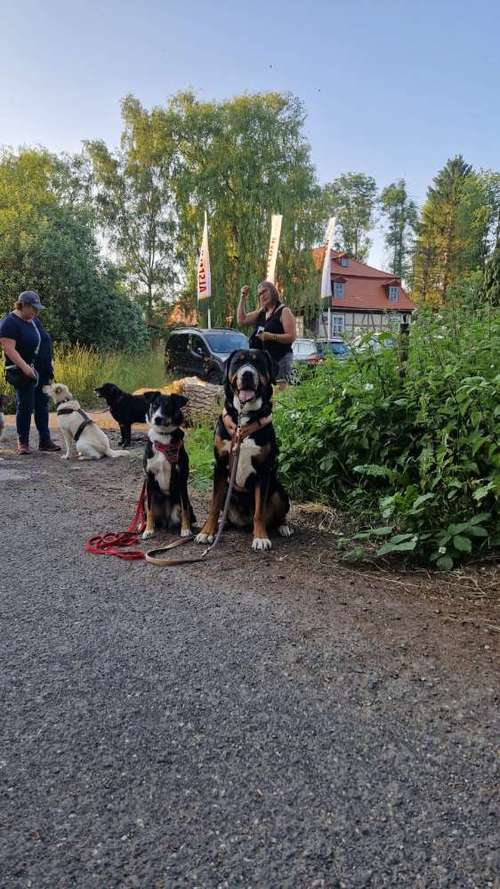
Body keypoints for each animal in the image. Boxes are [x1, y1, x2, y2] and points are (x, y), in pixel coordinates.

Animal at [142, 394, 196, 540]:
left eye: (168, 407)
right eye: (155, 405)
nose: (157, 418)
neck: (163, 438)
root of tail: (166, 519)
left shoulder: (182, 479)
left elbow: (184, 509)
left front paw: (185, 529)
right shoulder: (149, 478)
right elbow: (149, 510)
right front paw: (148, 530)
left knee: (187, 511)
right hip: (146, 497)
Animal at [193, 346, 292, 548]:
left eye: (258, 363)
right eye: (238, 362)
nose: (247, 374)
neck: (242, 421)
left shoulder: (263, 471)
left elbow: (259, 512)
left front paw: (260, 537)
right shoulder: (220, 467)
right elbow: (214, 507)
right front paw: (207, 532)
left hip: (279, 492)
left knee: (277, 514)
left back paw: (283, 526)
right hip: (227, 490)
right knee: (223, 512)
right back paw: (221, 525)